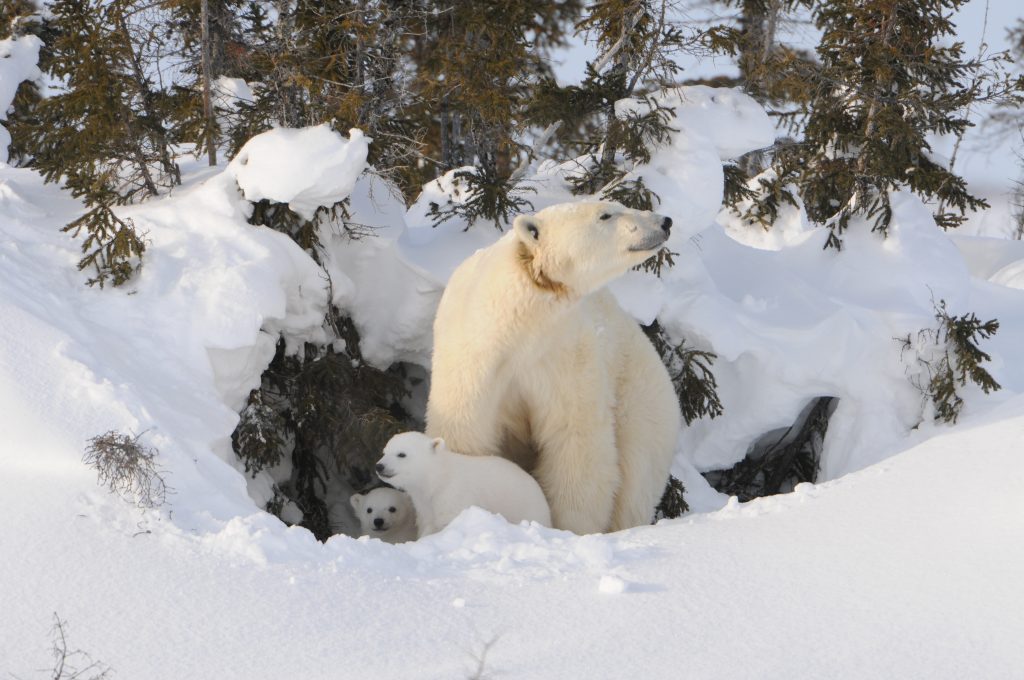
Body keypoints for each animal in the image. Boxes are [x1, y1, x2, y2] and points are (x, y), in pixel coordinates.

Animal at [375, 431, 552, 538]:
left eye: (401, 454)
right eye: (384, 452)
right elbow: (428, 523)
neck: (437, 478)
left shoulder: (452, 494)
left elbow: (448, 520)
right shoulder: (424, 505)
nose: (379, 466)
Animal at [425, 201, 681, 535]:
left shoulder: (563, 355)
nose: (664, 221)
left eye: (618, 206)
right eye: (606, 214)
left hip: (640, 397)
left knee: (636, 476)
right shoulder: (474, 358)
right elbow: (464, 432)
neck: (516, 327)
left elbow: (575, 442)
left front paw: (570, 529)